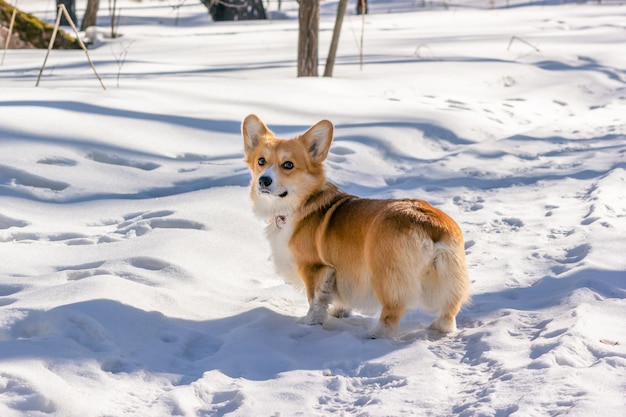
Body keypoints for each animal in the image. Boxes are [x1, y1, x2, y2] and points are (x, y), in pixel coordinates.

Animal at [239, 114, 468, 338]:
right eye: (261, 161)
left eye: (288, 165)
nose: (263, 181)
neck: (301, 202)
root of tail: (430, 224)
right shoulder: (341, 273)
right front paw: (339, 313)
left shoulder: (315, 268)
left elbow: (315, 302)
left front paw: (308, 325)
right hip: (449, 279)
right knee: (448, 313)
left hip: (386, 277)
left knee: (390, 316)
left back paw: (374, 335)